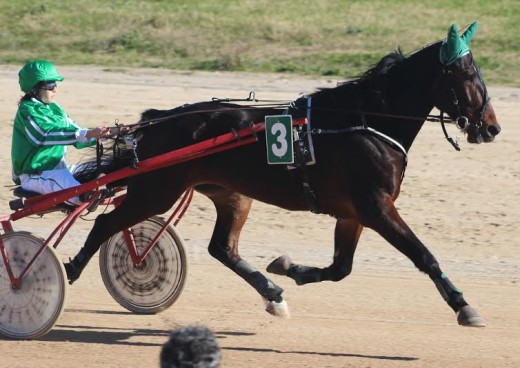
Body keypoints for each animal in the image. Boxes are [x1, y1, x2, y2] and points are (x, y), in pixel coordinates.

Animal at [65, 22, 500, 328]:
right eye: (467, 76)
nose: (492, 127)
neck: (366, 121)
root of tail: (159, 119)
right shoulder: (376, 207)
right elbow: (423, 255)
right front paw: (464, 306)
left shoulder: (353, 213)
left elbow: (340, 268)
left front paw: (289, 269)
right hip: (158, 190)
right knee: (107, 222)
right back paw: (70, 268)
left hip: (230, 194)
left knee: (222, 248)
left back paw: (272, 292)